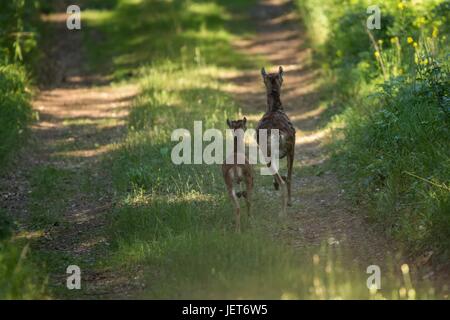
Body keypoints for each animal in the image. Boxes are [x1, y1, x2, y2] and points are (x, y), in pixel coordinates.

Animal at [256, 65, 296, 215]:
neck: (274, 109)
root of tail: (278, 135)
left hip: (267, 152)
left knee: (282, 181)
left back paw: (282, 212)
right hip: (291, 148)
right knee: (289, 177)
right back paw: (289, 202)